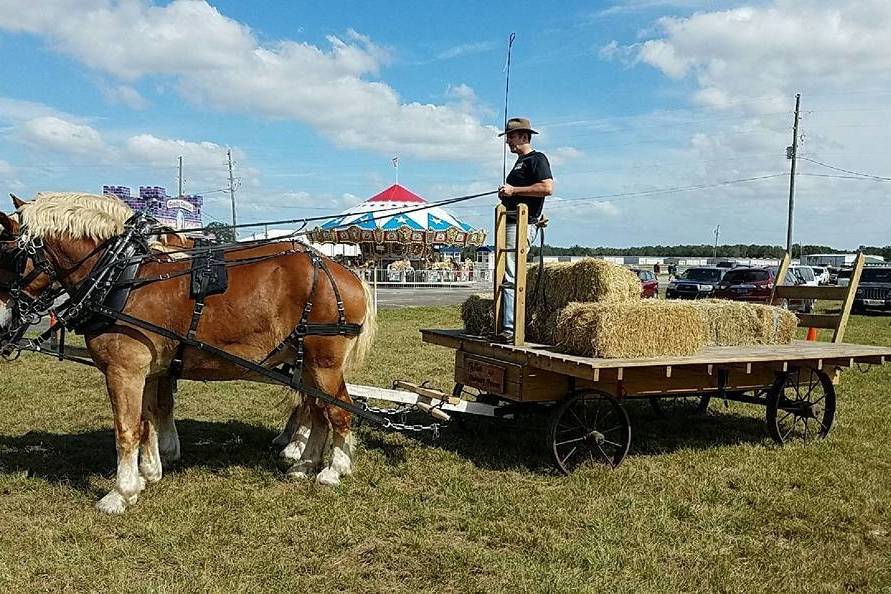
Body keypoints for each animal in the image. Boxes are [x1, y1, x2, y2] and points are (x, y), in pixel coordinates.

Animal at [0, 192, 374, 512]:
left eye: (10, 256)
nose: (2, 320)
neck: (120, 273)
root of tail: (345, 273)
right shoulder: (148, 369)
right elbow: (148, 419)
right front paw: (149, 473)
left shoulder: (124, 370)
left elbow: (126, 429)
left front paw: (121, 492)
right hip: (307, 364)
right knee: (318, 410)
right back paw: (306, 463)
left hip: (324, 361)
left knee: (339, 411)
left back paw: (333, 470)